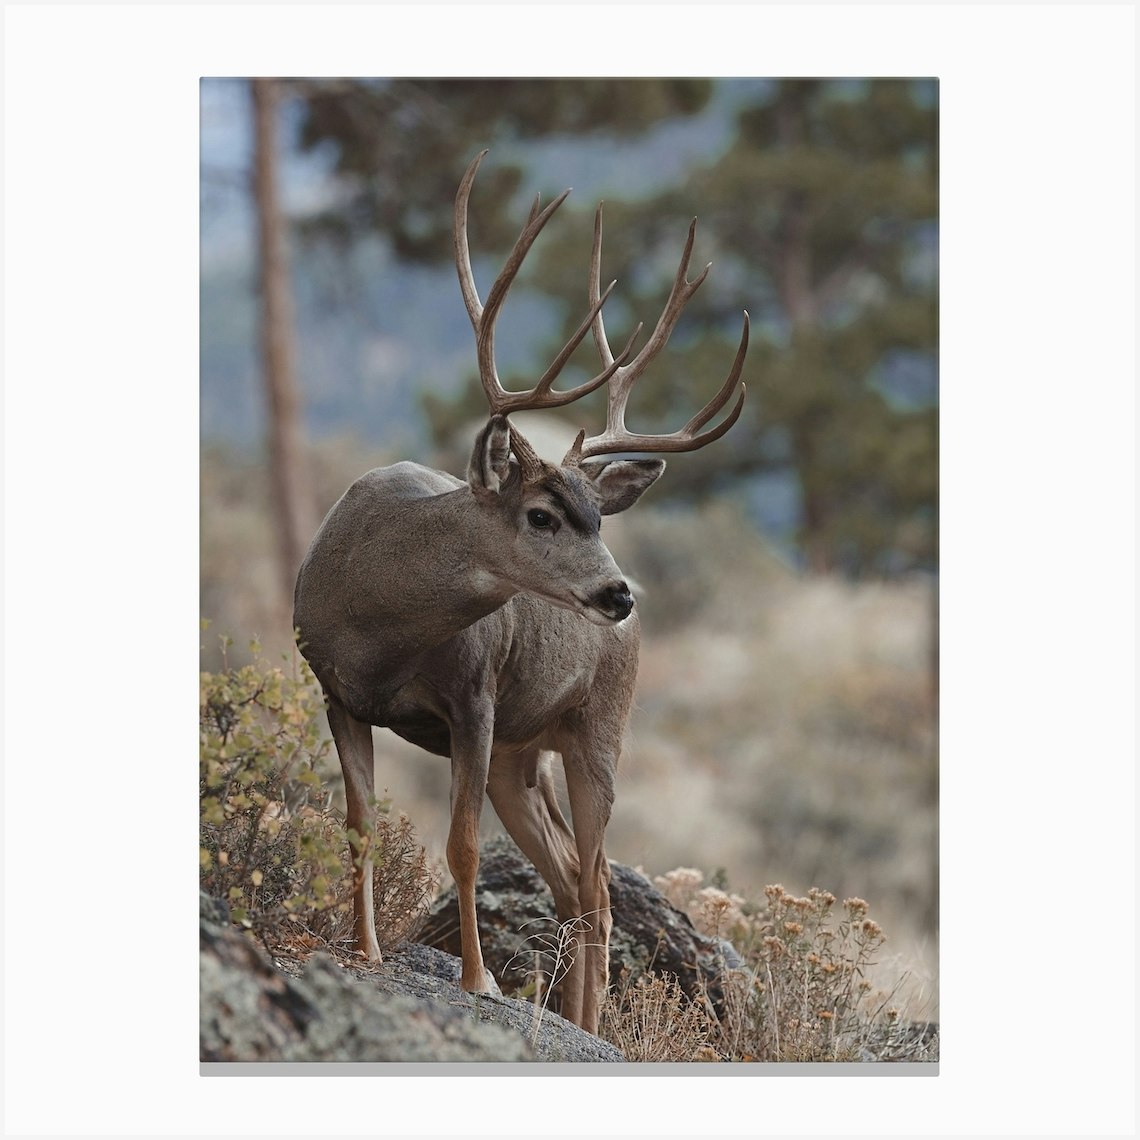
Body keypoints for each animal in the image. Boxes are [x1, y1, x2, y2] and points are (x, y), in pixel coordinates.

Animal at [294, 149, 747, 1035]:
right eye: (542, 514)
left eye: (595, 515)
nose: (618, 594)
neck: (378, 625)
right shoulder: (337, 692)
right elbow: (360, 827)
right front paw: (363, 952)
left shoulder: (475, 697)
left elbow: (462, 845)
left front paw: (479, 983)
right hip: (521, 755)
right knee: (570, 875)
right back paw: (572, 1014)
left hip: (597, 725)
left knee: (598, 885)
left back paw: (588, 1024)